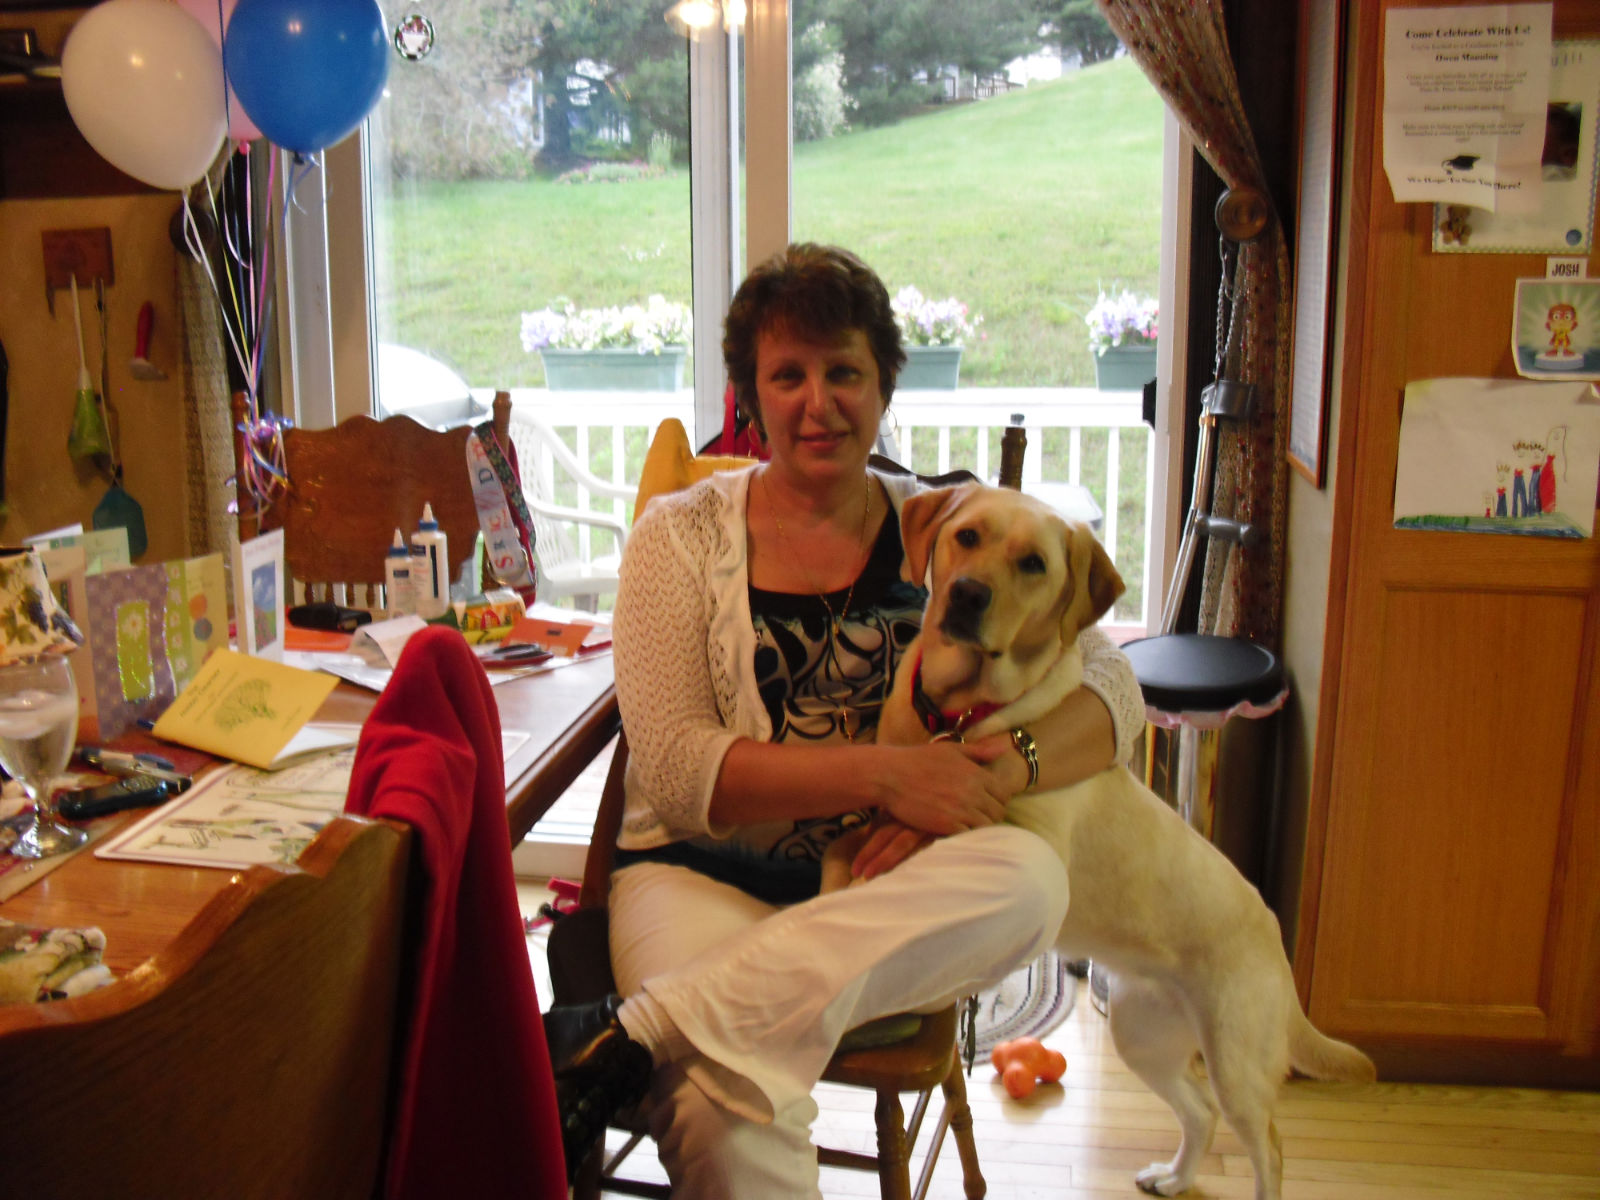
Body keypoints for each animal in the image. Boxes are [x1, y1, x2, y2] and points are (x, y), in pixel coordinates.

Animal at [826, 483, 1375, 1200]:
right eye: (967, 536)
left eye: (1033, 563)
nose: (968, 594)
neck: (960, 711)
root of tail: (1275, 939)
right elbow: (856, 842)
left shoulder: (1027, 837)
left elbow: (932, 832)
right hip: (1144, 1037)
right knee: (1198, 1111)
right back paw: (1172, 1177)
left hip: (1236, 1060)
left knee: (1270, 1148)